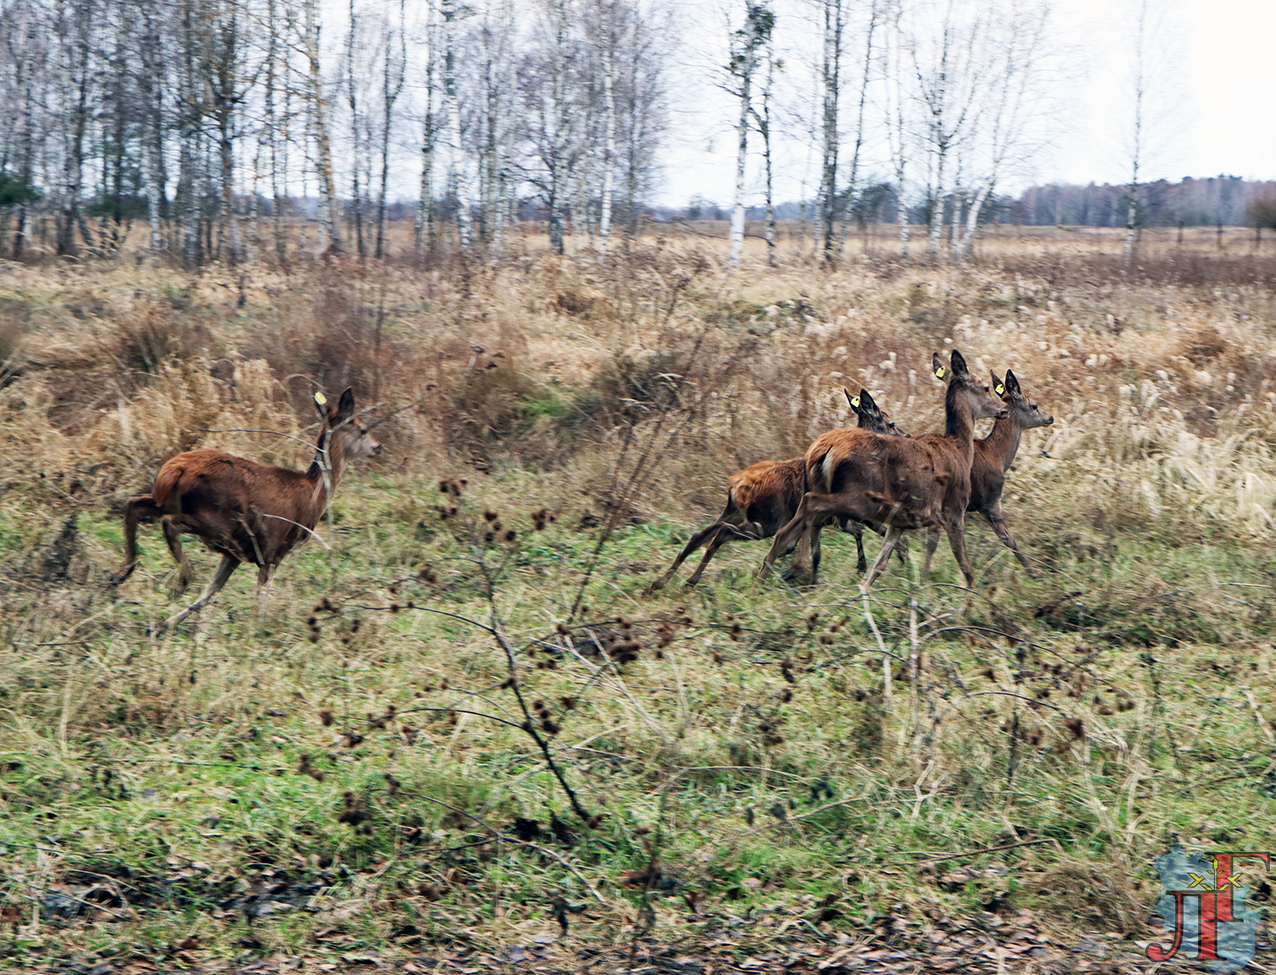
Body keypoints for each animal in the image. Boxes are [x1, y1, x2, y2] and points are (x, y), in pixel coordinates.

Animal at [112, 387, 380, 632]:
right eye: (363, 429)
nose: (378, 447)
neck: (316, 494)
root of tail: (174, 470)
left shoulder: (237, 553)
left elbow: (209, 593)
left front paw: (162, 625)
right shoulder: (274, 549)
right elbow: (260, 598)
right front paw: (257, 632)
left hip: (170, 502)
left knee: (134, 504)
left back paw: (121, 573)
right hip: (219, 519)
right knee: (169, 522)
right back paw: (181, 580)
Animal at [648, 385, 908, 589]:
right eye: (890, 422)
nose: (906, 435)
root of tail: (737, 485)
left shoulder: (830, 518)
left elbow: (820, 551)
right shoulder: (842, 513)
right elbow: (864, 531)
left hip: (733, 512)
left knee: (699, 535)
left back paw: (661, 583)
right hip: (766, 520)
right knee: (722, 534)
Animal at [760, 352, 1010, 589]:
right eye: (986, 387)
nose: (1005, 408)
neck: (960, 449)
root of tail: (821, 450)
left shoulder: (900, 522)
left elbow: (880, 565)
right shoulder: (954, 509)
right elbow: (965, 565)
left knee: (795, 526)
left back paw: (769, 575)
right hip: (859, 497)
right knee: (811, 506)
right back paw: (793, 569)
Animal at [923, 364, 1051, 579]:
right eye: (1033, 405)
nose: (1050, 417)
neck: (997, 455)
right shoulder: (990, 501)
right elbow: (1008, 538)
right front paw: (1034, 571)